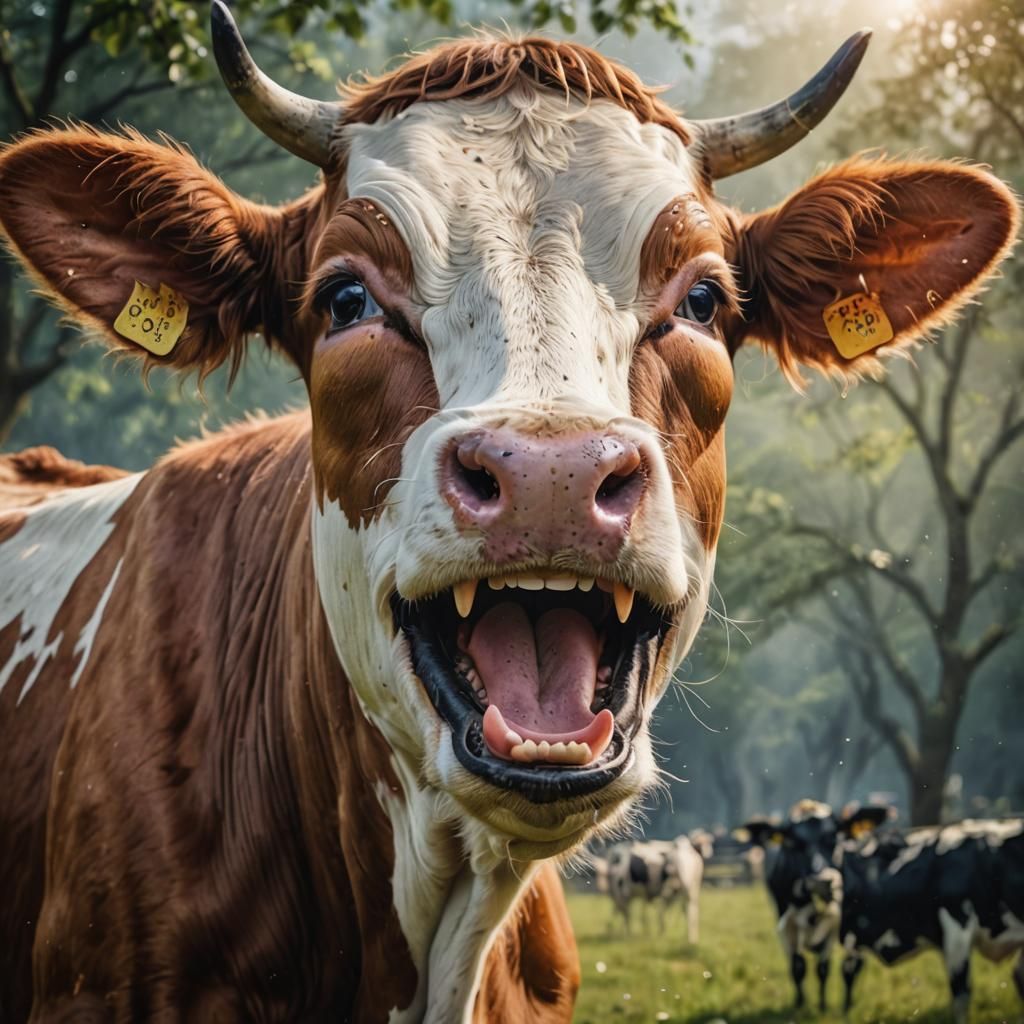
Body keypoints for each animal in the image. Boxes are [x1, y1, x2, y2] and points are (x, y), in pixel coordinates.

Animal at [742, 799, 891, 1011]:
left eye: (833, 838)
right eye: (795, 844)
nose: (821, 881)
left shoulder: (840, 925)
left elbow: (829, 968)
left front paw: (828, 1007)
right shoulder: (787, 924)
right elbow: (798, 966)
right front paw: (800, 1004)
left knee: (853, 965)